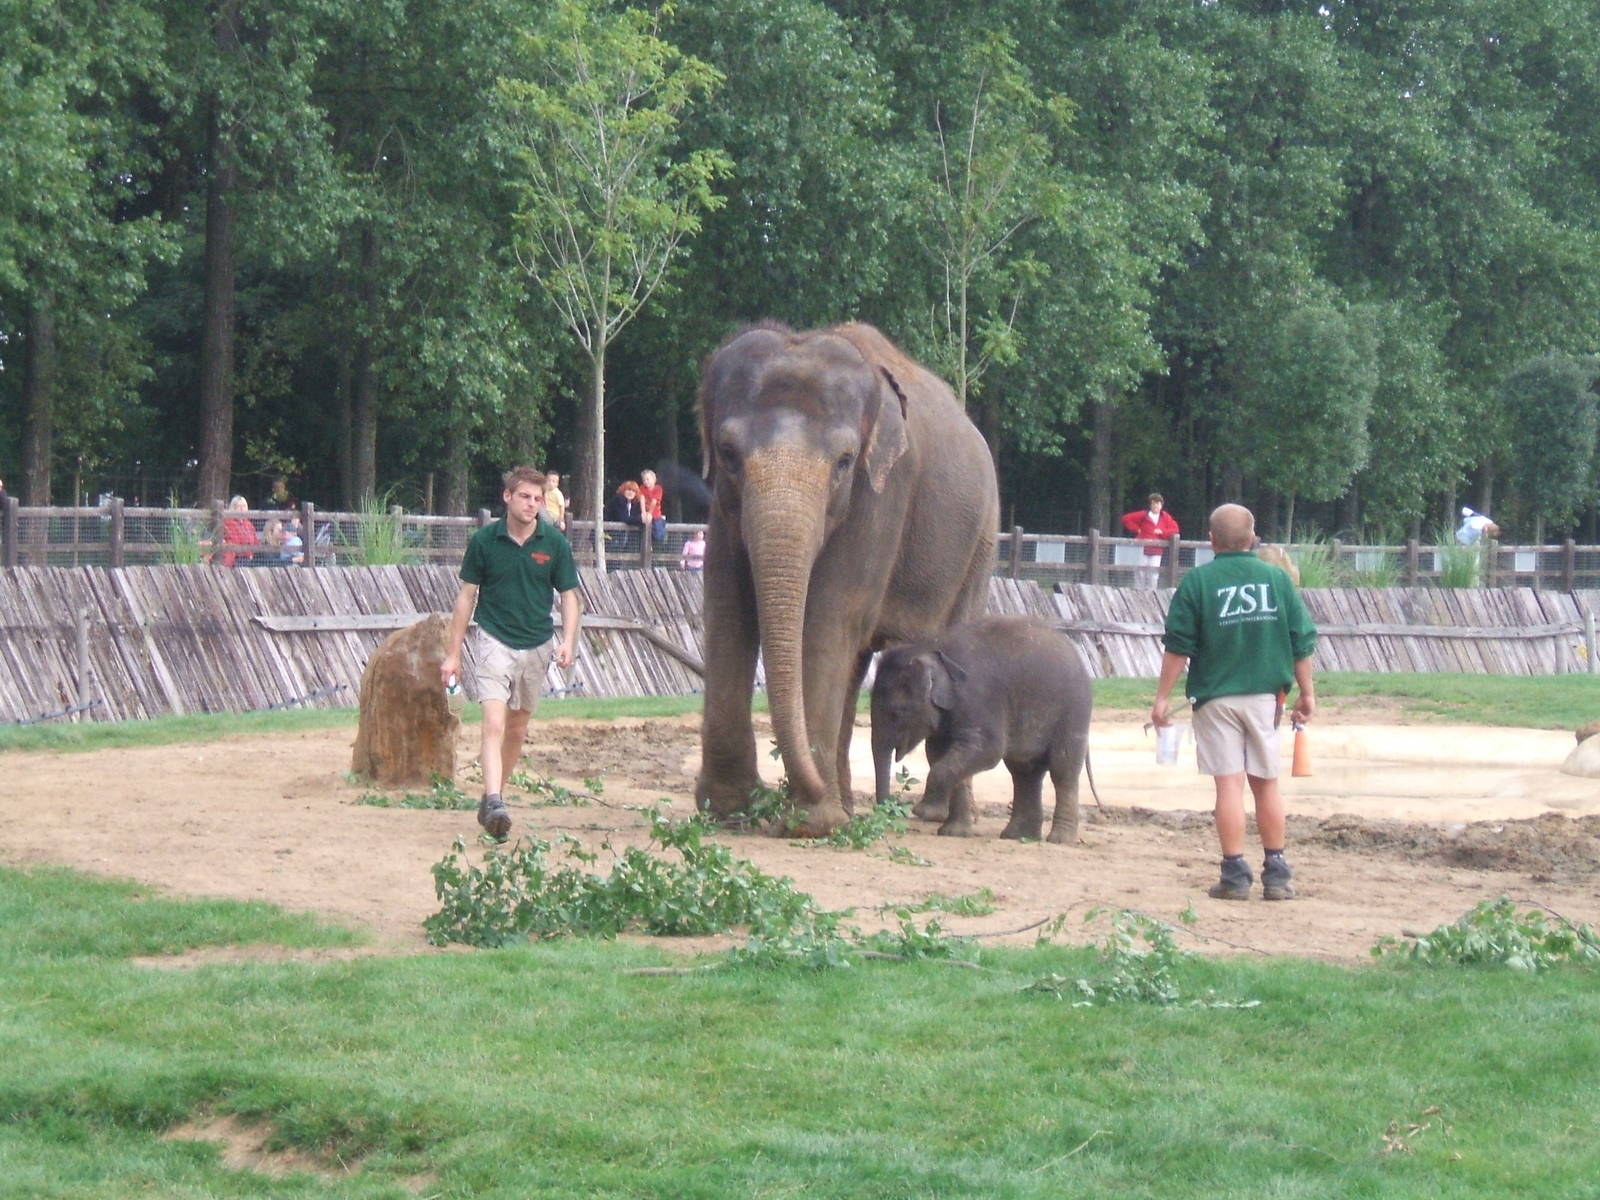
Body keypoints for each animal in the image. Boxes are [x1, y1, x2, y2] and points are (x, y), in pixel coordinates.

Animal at [695, 321, 999, 837]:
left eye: (844, 461)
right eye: (728, 453)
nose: (782, 794)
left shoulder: (882, 493)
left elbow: (828, 617)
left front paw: (808, 820)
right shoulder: (722, 504)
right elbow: (727, 609)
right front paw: (729, 810)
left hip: (981, 542)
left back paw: (948, 821)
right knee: (854, 664)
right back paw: (851, 809)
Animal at [870, 616, 1095, 843]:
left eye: (898, 712)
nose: (895, 807)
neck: (931, 647)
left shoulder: (980, 698)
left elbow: (987, 750)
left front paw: (923, 811)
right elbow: (939, 755)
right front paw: (953, 833)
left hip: (1074, 711)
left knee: (1062, 769)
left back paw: (1059, 839)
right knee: (1024, 771)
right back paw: (1018, 836)